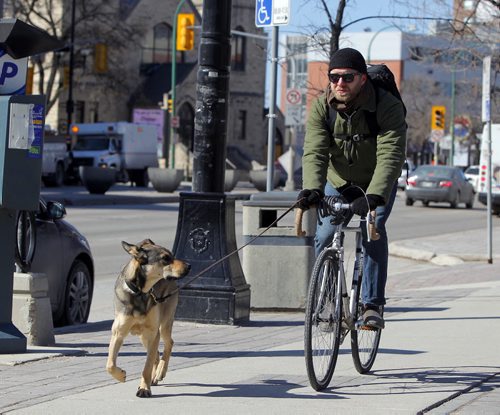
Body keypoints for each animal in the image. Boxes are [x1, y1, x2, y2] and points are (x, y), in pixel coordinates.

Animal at [106, 239, 190, 398]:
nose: (189, 266)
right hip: (144, 336)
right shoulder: (118, 333)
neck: (139, 292)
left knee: (168, 344)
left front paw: (144, 388)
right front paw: (121, 375)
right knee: (156, 353)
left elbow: (147, 365)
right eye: (165, 258)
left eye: (172, 255)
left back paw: (160, 372)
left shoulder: (152, 332)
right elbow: (110, 364)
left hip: (164, 323)